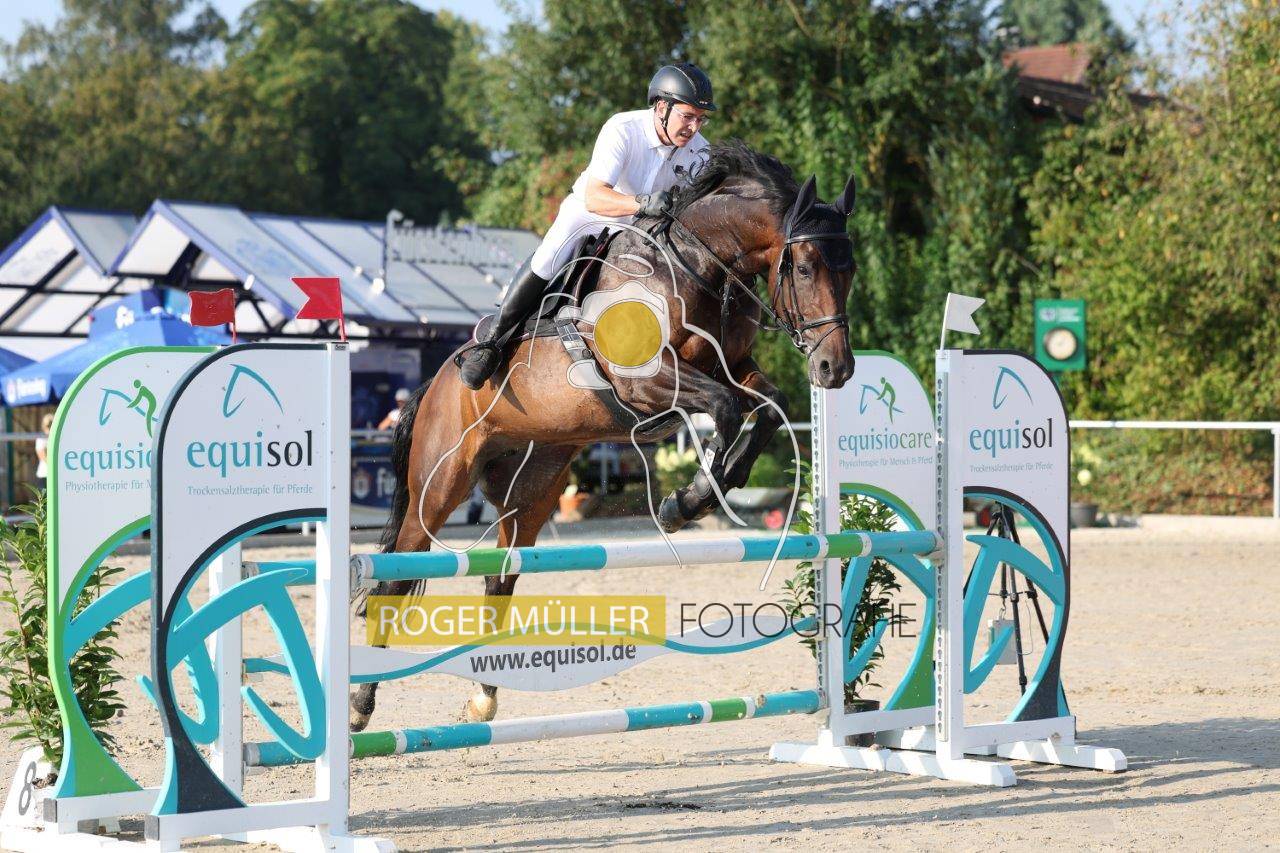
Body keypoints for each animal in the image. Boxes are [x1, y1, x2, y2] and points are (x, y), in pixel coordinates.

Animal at [351, 140, 858, 730]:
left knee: (500, 579)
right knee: (394, 577)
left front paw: (706, 492)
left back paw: (483, 697)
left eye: (850, 271)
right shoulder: (646, 381)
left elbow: (768, 409)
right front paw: (686, 501)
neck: (697, 265)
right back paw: (360, 705)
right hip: (439, 486)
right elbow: (727, 409)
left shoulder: (731, 368)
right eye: (803, 266)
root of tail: (434, 383)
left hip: (532, 491)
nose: (834, 369)